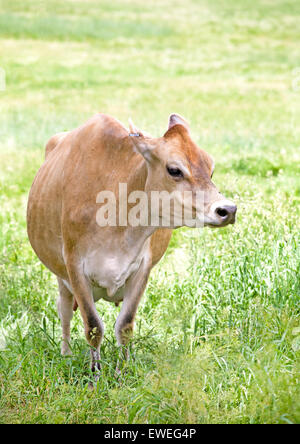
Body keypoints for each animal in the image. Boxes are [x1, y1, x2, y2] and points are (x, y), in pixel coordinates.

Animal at [26, 112, 237, 380]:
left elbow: (125, 325)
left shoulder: (142, 268)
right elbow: (93, 326)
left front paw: (124, 370)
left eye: (211, 169)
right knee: (64, 311)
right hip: (61, 276)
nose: (228, 210)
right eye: (174, 170)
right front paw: (95, 375)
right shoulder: (74, 265)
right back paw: (66, 354)